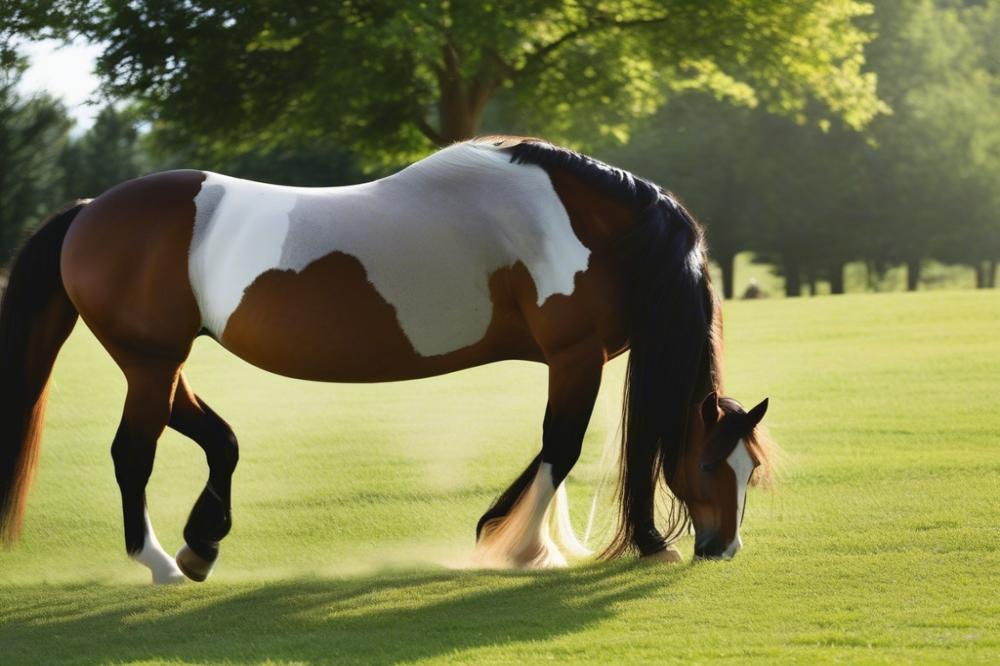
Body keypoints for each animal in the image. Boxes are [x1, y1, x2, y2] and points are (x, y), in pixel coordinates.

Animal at [0, 136, 772, 580]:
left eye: (751, 469)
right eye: (712, 465)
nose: (724, 547)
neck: (590, 226)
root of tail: (91, 209)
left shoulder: (591, 359)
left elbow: (594, 448)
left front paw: (506, 531)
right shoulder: (575, 356)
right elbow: (564, 447)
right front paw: (521, 546)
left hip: (158, 364)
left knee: (218, 439)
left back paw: (201, 545)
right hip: (150, 363)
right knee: (133, 455)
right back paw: (158, 563)